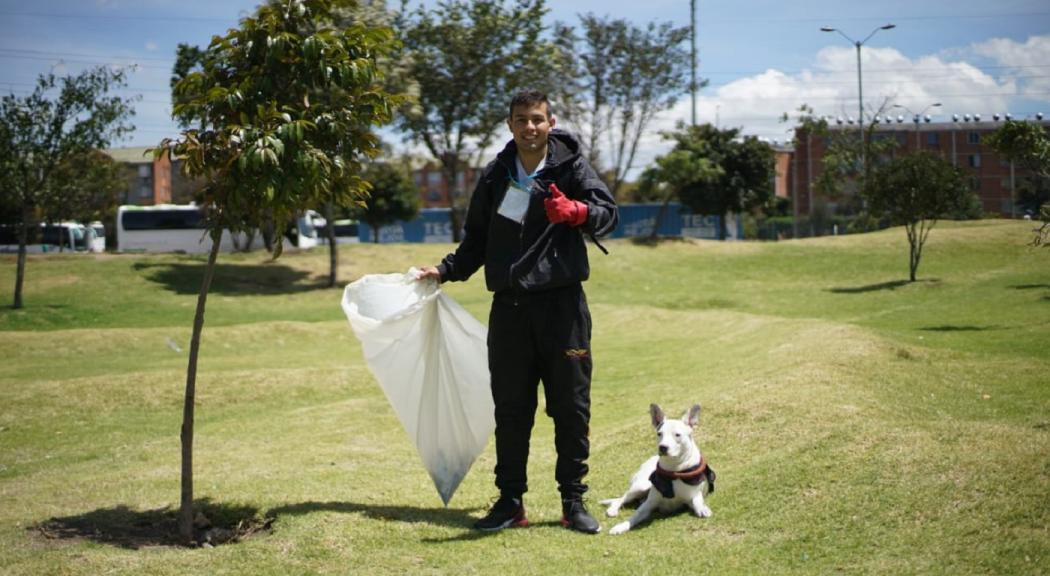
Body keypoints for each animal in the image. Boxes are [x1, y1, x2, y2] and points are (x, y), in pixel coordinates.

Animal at [604, 402, 718, 532]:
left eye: (677, 435)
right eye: (659, 434)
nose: (662, 447)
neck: (673, 471)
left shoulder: (692, 496)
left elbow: (697, 502)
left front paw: (703, 508)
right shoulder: (649, 504)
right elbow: (635, 515)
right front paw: (621, 526)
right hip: (641, 485)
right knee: (621, 498)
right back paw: (612, 509)